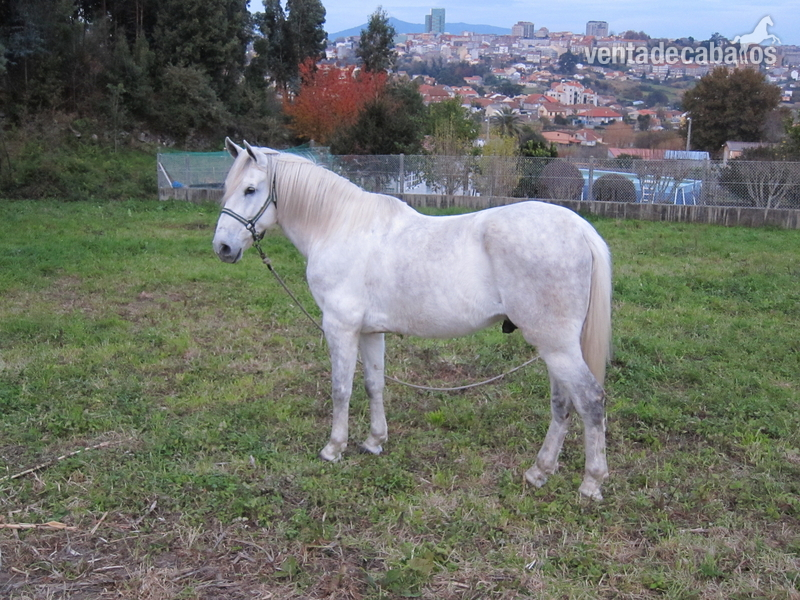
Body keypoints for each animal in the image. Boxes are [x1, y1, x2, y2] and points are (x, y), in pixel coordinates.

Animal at [212, 140, 612, 500]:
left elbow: (341, 389)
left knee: (590, 400)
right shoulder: (370, 332)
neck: (338, 226)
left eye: (250, 189)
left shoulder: (340, 328)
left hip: (556, 346)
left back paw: (591, 483)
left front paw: (334, 448)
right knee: (562, 404)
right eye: (228, 187)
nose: (223, 248)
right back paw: (539, 471)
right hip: (554, 347)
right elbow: (374, 384)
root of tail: (580, 228)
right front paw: (374, 441)